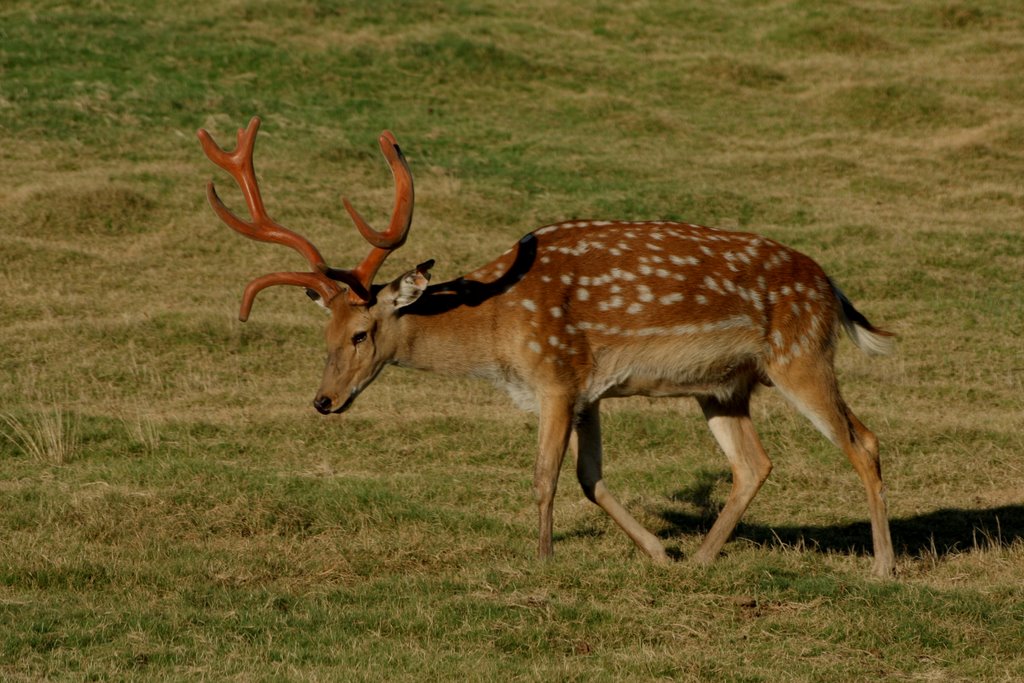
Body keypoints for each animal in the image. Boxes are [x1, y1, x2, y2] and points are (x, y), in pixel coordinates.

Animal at [197, 117, 897, 577]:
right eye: (325, 335)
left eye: (361, 333)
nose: (323, 401)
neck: (499, 328)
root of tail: (832, 287)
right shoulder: (588, 390)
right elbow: (591, 478)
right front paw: (658, 551)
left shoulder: (555, 375)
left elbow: (544, 476)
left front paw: (542, 560)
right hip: (723, 386)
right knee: (754, 463)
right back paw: (699, 560)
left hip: (801, 354)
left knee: (863, 440)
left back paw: (883, 567)